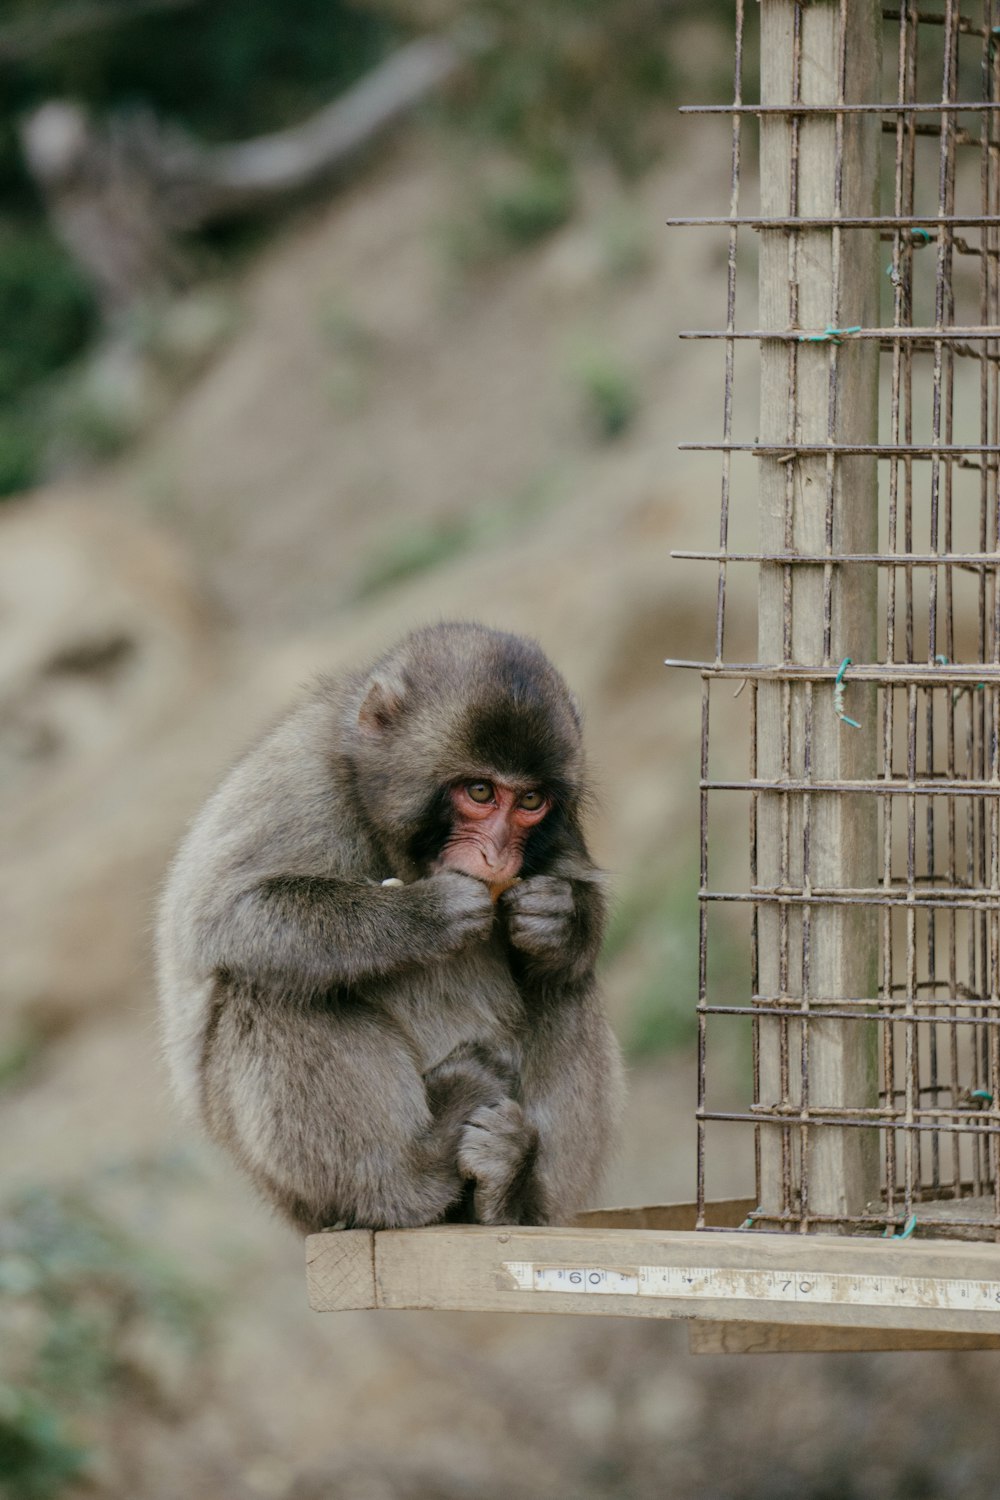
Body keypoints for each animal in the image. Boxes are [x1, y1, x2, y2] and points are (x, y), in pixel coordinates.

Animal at [157, 621, 620, 1230]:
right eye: (479, 792)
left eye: (530, 800)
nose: (498, 858)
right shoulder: (300, 781)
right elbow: (226, 916)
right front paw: (427, 916)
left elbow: (572, 911)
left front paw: (558, 919)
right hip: (297, 1193)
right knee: (266, 987)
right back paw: (411, 1176)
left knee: (564, 983)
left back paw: (512, 1198)